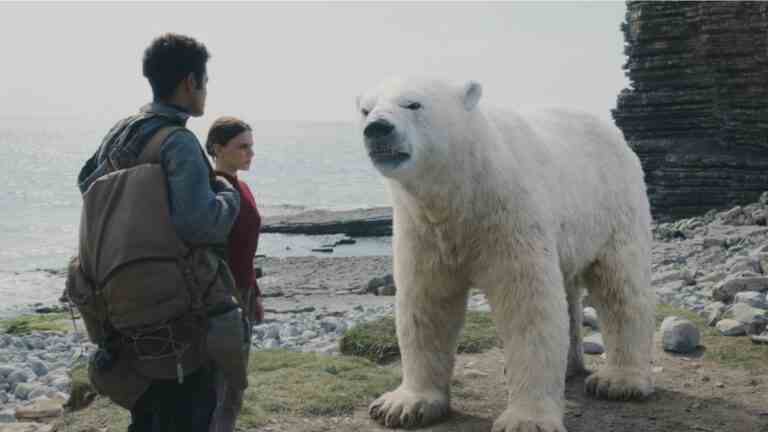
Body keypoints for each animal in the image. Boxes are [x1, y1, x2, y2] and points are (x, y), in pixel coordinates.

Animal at [358, 77, 656, 432]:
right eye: (365, 109)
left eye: (413, 104)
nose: (377, 128)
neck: (464, 191)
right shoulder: (423, 231)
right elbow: (426, 304)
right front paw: (404, 405)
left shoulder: (509, 216)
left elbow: (527, 305)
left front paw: (527, 420)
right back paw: (570, 366)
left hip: (612, 207)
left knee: (620, 286)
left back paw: (619, 381)